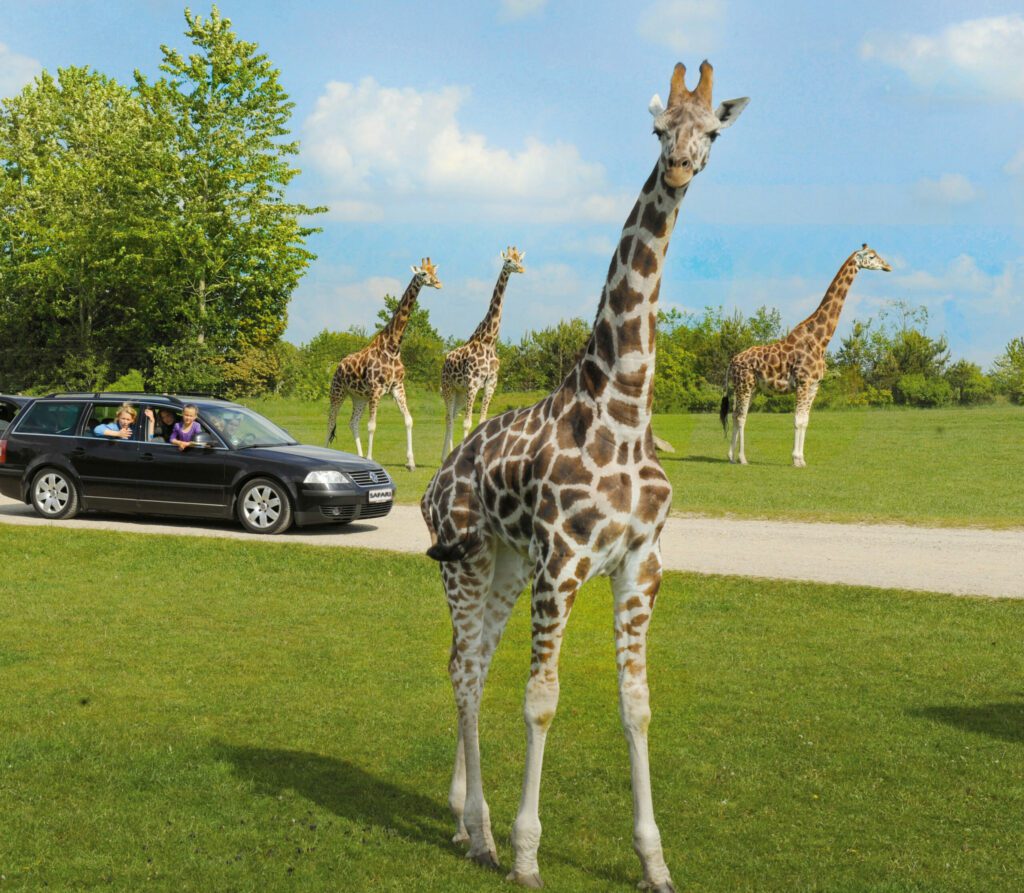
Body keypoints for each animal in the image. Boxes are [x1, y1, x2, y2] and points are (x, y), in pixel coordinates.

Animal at [325, 258, 442, 470]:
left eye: (434, 272)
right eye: (423, 273)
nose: (438, 283)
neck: (393, 347)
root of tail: (338, 365)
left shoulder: (397, 387)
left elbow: (409, 420)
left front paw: (410, 463)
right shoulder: (376, 389)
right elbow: (372, 425)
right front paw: (372, 458)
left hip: (358, 397)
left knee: (352, 422)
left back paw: (359, 456)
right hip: (337, 392)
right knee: (330, 422)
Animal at [440, 246, 526, 462]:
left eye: (520, 259)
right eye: (509, 261)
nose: (521, 269)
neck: (489, 340)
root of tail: (444, 361)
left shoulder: (490, 384)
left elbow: (481, 421)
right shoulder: (473, 382)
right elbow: (467, 423)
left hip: (460, 392)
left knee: (452, 415)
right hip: (449, 387)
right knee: (448, 418)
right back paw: (444, 457)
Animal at [721, 244, 891, 467]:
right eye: (871, 256)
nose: (888, 266)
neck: (820, 340)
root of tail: (732, 362)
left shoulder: (814, 385)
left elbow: (805, 421)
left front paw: (801, 459)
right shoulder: (803, 382)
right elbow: (797, 420)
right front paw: (795, 459)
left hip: (752, 387)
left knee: (735, 415)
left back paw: (731, 457)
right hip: (744, 385)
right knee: (741, 417)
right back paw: (742, 458)